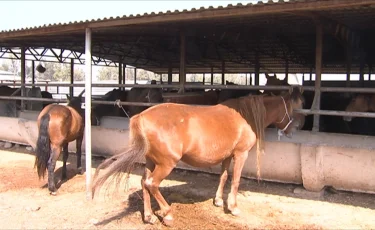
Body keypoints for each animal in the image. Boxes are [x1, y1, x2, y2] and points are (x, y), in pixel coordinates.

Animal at [91, 87, 306, 226]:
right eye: (296, 109)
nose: (295, 130)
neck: (245, 117)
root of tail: (140, 117)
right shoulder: (240, 154)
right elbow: (236, 180)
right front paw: (233, 207)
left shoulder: (227, 155)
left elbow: (223, 177)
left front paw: (218, 201)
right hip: (166, 164)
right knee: (152, 184)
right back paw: (167, 214)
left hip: (151, 161)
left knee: (144, 183)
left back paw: (149, 216)